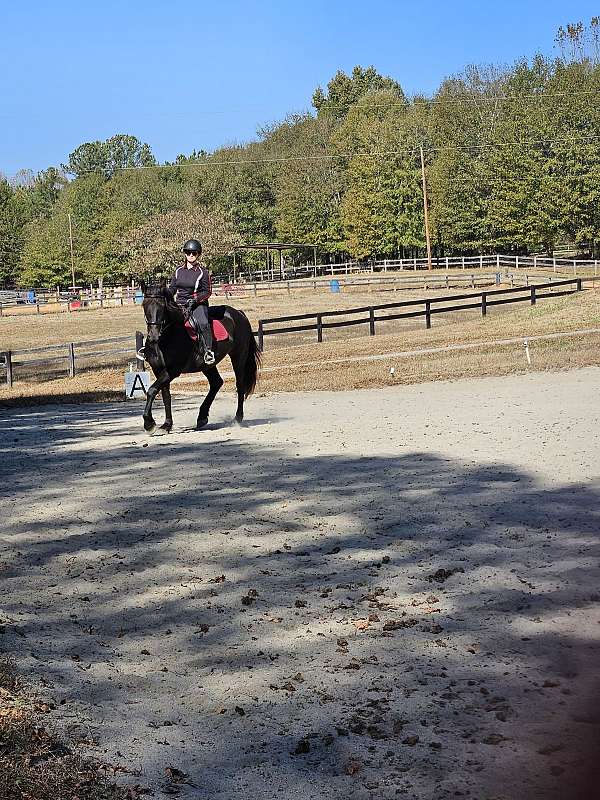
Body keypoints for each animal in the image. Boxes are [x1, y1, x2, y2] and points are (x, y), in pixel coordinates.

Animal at [142, 282, 262, 432]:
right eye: (144, 304)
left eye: (162, 306)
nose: (153, 336)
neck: (166, 338)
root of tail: (239, 313)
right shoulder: (158, 370)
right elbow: (165, 395)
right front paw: (166, 424)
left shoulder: (173, 371)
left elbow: (152, 390)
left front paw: (149, 423)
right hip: (207, 365)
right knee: (216, 382)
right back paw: (202, 417)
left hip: (238, 357)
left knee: (239, 385)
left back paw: (237, 418)